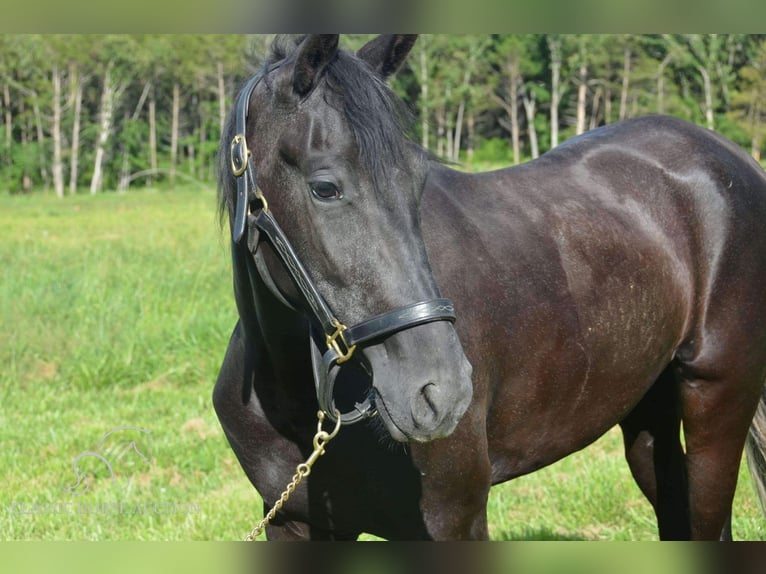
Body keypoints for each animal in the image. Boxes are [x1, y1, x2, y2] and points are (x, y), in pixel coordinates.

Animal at [213, 35, 766, 540]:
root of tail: (731, 158)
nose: (441, 391)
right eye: (324, 187)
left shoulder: (454, 520)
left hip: (717, 401)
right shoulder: (293, 524)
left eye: (418, 181)